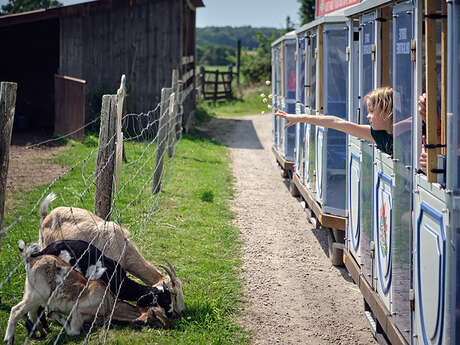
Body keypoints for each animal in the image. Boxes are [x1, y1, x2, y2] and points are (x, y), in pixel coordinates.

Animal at [3, 239, 169, 344]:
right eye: (163, 299)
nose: (172, 316)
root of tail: (35, 256)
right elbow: (73, 329)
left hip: (34, 292)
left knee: (32, 311)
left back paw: (41, 330)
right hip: (39, 293)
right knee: (20, 310)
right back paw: (13, 337)